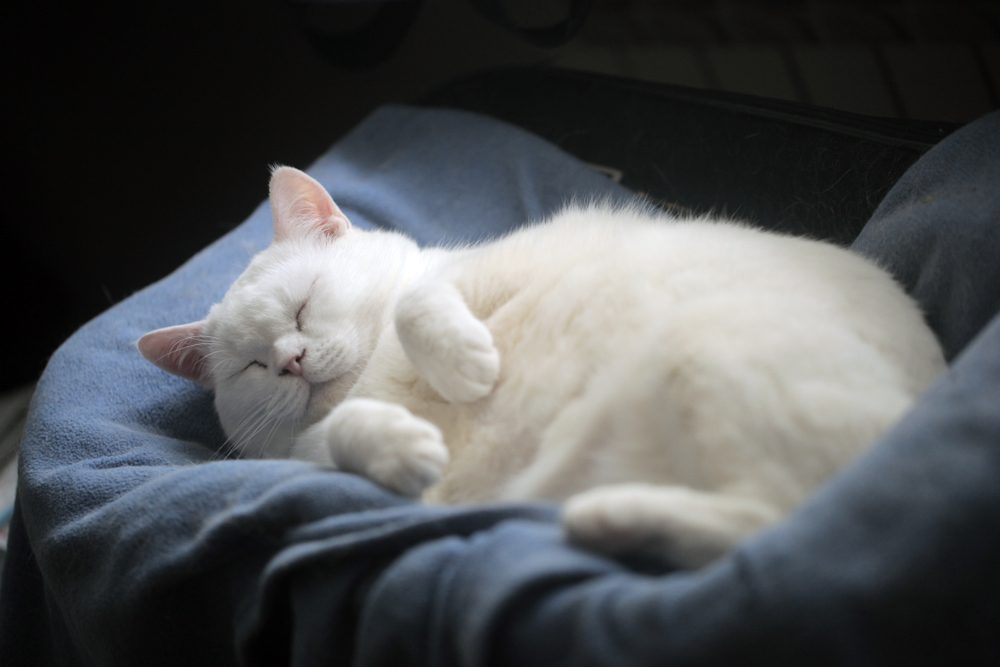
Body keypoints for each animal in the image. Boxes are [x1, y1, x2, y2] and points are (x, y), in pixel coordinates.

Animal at [139, 167, 944, 568]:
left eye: (302, 310)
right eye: (253, 365)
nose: (292, 359)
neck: (376, 379)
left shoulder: (491, 267)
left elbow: (419, 303)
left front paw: (467, 368)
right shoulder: (308, 455)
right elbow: (346, 435)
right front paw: (404, 451)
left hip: (706, 345)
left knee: (784, 531)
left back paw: (606, 517)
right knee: (770, 531)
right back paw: (609, 519)